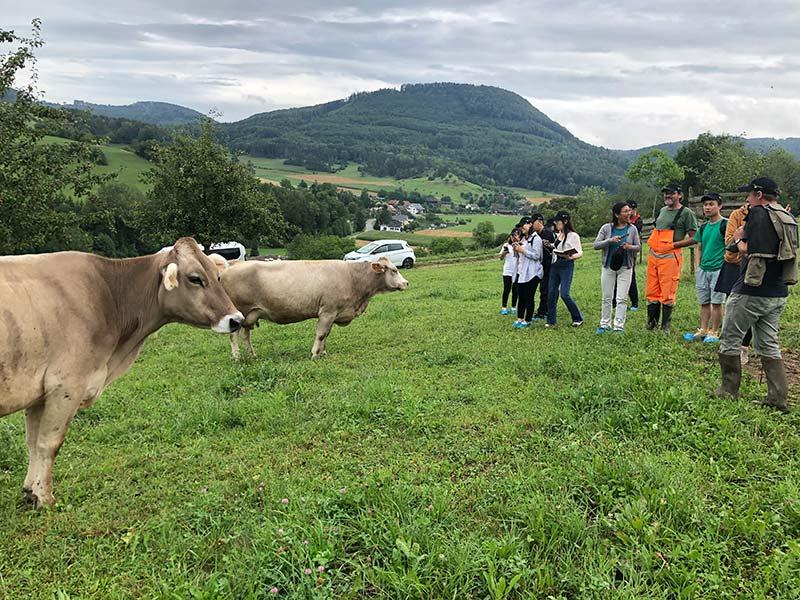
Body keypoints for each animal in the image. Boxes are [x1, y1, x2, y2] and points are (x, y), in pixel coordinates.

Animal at [0, 239, 244, 506]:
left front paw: (30, 492)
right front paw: (44, 497)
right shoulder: (65, 386)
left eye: (217, 276)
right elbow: (49, 444)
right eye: (195, 278)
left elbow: (33, 443)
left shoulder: (37, 392)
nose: (236, 319)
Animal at [222, 255, 410, 358]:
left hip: (251, 314)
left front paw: (322, 353)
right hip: (240, 312)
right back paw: (237, 356)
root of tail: (232, 265)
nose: (406, 283)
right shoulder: (328, 311)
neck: (353, 278)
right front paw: (314, 354)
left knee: (245, 335)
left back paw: (252, 355)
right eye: (394, 270)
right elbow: (321, 334)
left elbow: (326, 334)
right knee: (234, 335)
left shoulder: (334, 314)